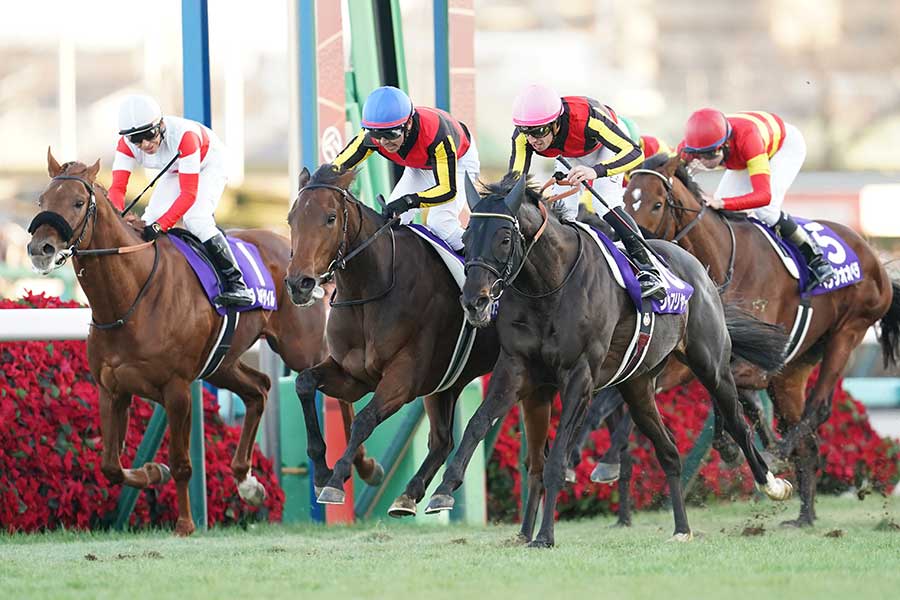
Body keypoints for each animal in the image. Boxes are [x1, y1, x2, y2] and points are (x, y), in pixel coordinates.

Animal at [26, 150, 382, 536]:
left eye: (78, 202)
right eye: (42, 200)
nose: (40, 248)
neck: (129, 298)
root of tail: (297, 254)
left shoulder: (177, 389)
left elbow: (181, 462)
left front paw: (184, 523)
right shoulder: (111, 389)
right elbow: (110, 465)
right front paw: (153, 471)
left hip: (302, 349)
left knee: (335, 393)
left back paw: (363, 467)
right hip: (221, 364)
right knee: (259, 388)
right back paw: (247, 482)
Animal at [283, 165, 513, 517]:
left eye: (331, 217)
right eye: (291, 218)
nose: (299, 283)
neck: (371, 289)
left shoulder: (403, 379)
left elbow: (364, 419)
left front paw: (337, 479)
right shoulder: (353, 376)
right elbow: (304, 383)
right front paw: (322, 473)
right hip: (446, 384)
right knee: (442, 440)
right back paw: (413, 495)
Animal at [424, 173, 792, 547]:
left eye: (504, 238)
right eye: (466, 237)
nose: (475, 301)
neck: (549, 285)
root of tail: (700, 271)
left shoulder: (580, 376)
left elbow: (557, 458)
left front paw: (544, 536)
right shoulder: (516, 368)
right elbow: (477, 424)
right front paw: (443, 490)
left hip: (710, 364)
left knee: (738, 423)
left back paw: (772, 484)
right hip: (638, 386)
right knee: (668, 450)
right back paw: (681, 528)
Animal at [624, 153, 900, 526]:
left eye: (656, 203)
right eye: (627, 200)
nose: (635, 249)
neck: (722, 259)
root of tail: (873, 256)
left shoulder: (755, 361)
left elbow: (726, 392)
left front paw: (738, 447)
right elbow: (736, 399)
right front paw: (736, 445)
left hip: (848, 332)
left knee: (818, 406)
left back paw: (780, 454)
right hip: (794, 370)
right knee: (806, 434)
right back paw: (804, 515)